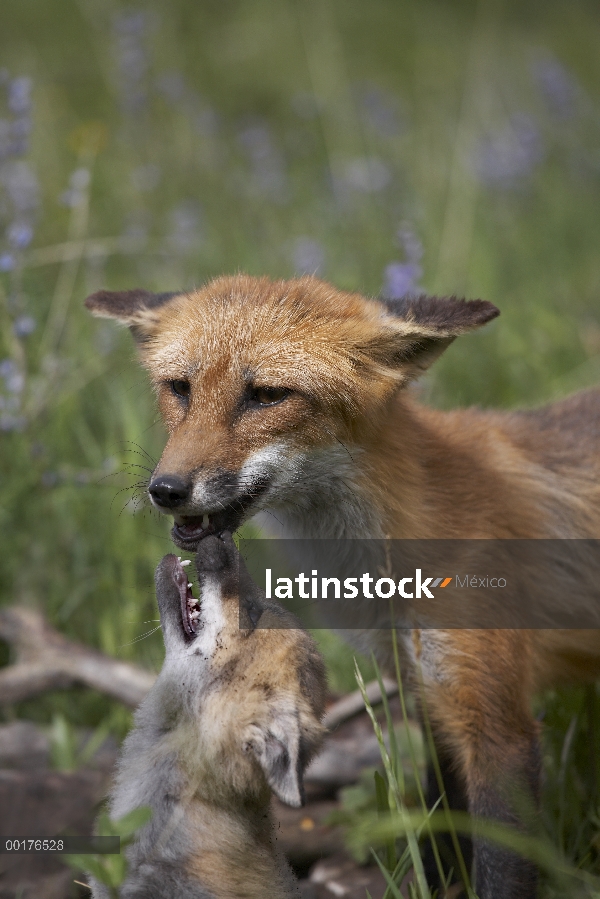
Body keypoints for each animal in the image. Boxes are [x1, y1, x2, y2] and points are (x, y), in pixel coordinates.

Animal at [86, 276, 600, 899]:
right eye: (179, 389)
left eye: (266, 395)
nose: (166, 490)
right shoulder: (425, 695)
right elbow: (439, 836)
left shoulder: (496, 723)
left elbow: (500, 866)